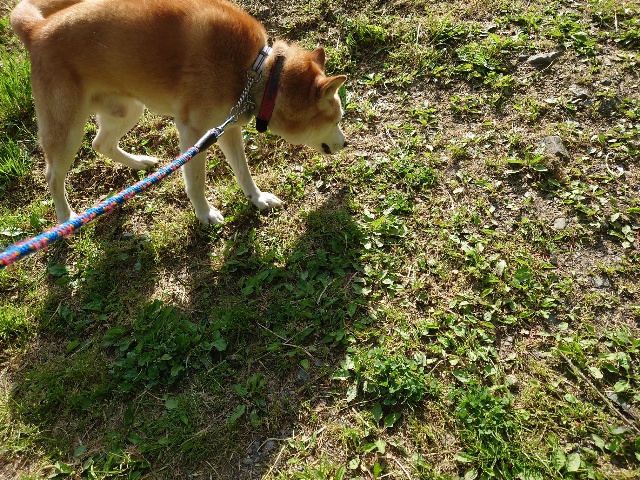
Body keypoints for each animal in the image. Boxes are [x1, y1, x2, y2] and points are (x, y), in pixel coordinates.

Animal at [10, 0, 347, 224]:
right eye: (337, 119)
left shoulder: (228, 128)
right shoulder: (194, 132)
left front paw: (257, 198)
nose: (345, 143)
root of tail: (37, 29)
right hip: (67, 130)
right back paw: (67, 218)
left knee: (100, 144)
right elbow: (196, 182)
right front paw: (205, 213)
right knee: (53, 175)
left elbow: (243, 172)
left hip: (128, 109)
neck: (257, 71)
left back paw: (140, 163)